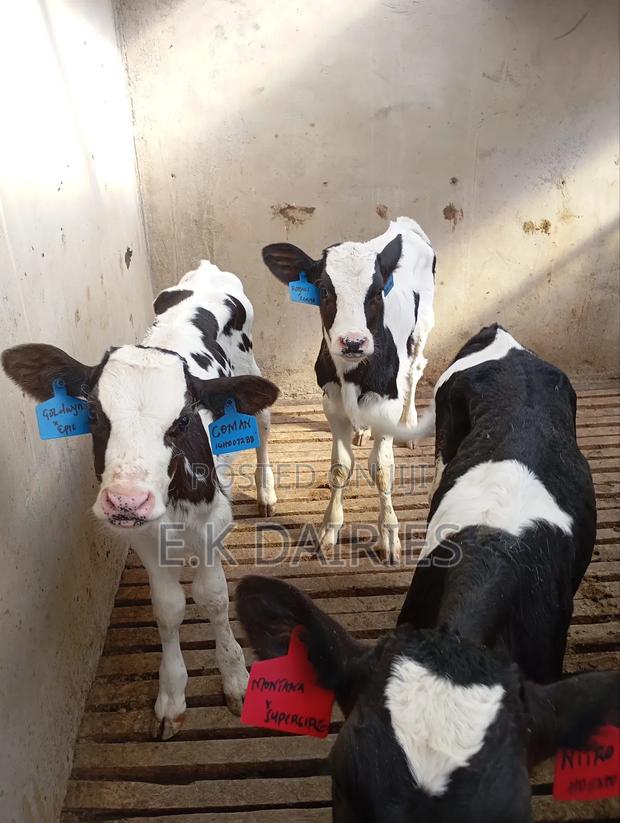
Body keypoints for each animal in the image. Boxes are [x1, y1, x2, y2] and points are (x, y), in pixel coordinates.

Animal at [2, 260, 279, 739]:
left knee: (259, 422)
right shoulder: (141, 535)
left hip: (249, 365)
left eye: (183, 420)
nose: (126, 500)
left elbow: (213, 597)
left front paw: (235, 678)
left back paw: (265, 491)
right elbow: (168, 608)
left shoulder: (208, 521)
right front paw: (172, 696)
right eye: (93, 413)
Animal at [262, 216, 435, 562]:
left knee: (414, 370)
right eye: (324, 290)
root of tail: (403, 225)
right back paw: (363, 431)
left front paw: (389, 537)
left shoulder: (387, 401)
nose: (353, 342)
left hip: (423, 325)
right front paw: (329, 532)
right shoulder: (332, 403)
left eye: (377, 291)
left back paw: (409, 424)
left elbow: (382, 470)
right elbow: (340, 469)